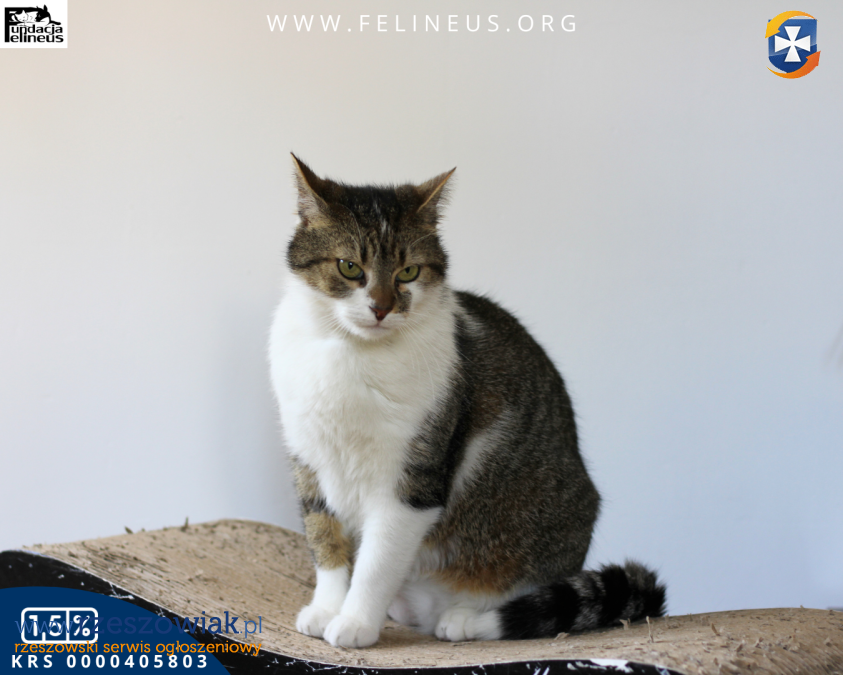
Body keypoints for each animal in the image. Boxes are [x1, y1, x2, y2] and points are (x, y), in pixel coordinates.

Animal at [268, 154, 665, 649]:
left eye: (408, 272)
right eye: (348, 267)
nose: (381, 307)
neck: (350, 353)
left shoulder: (414, 480)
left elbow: (377, 563)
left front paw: (356, 622)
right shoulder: (308, 459)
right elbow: (325, 541)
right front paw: (326, 609)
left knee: (524, 603)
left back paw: (465, 619)